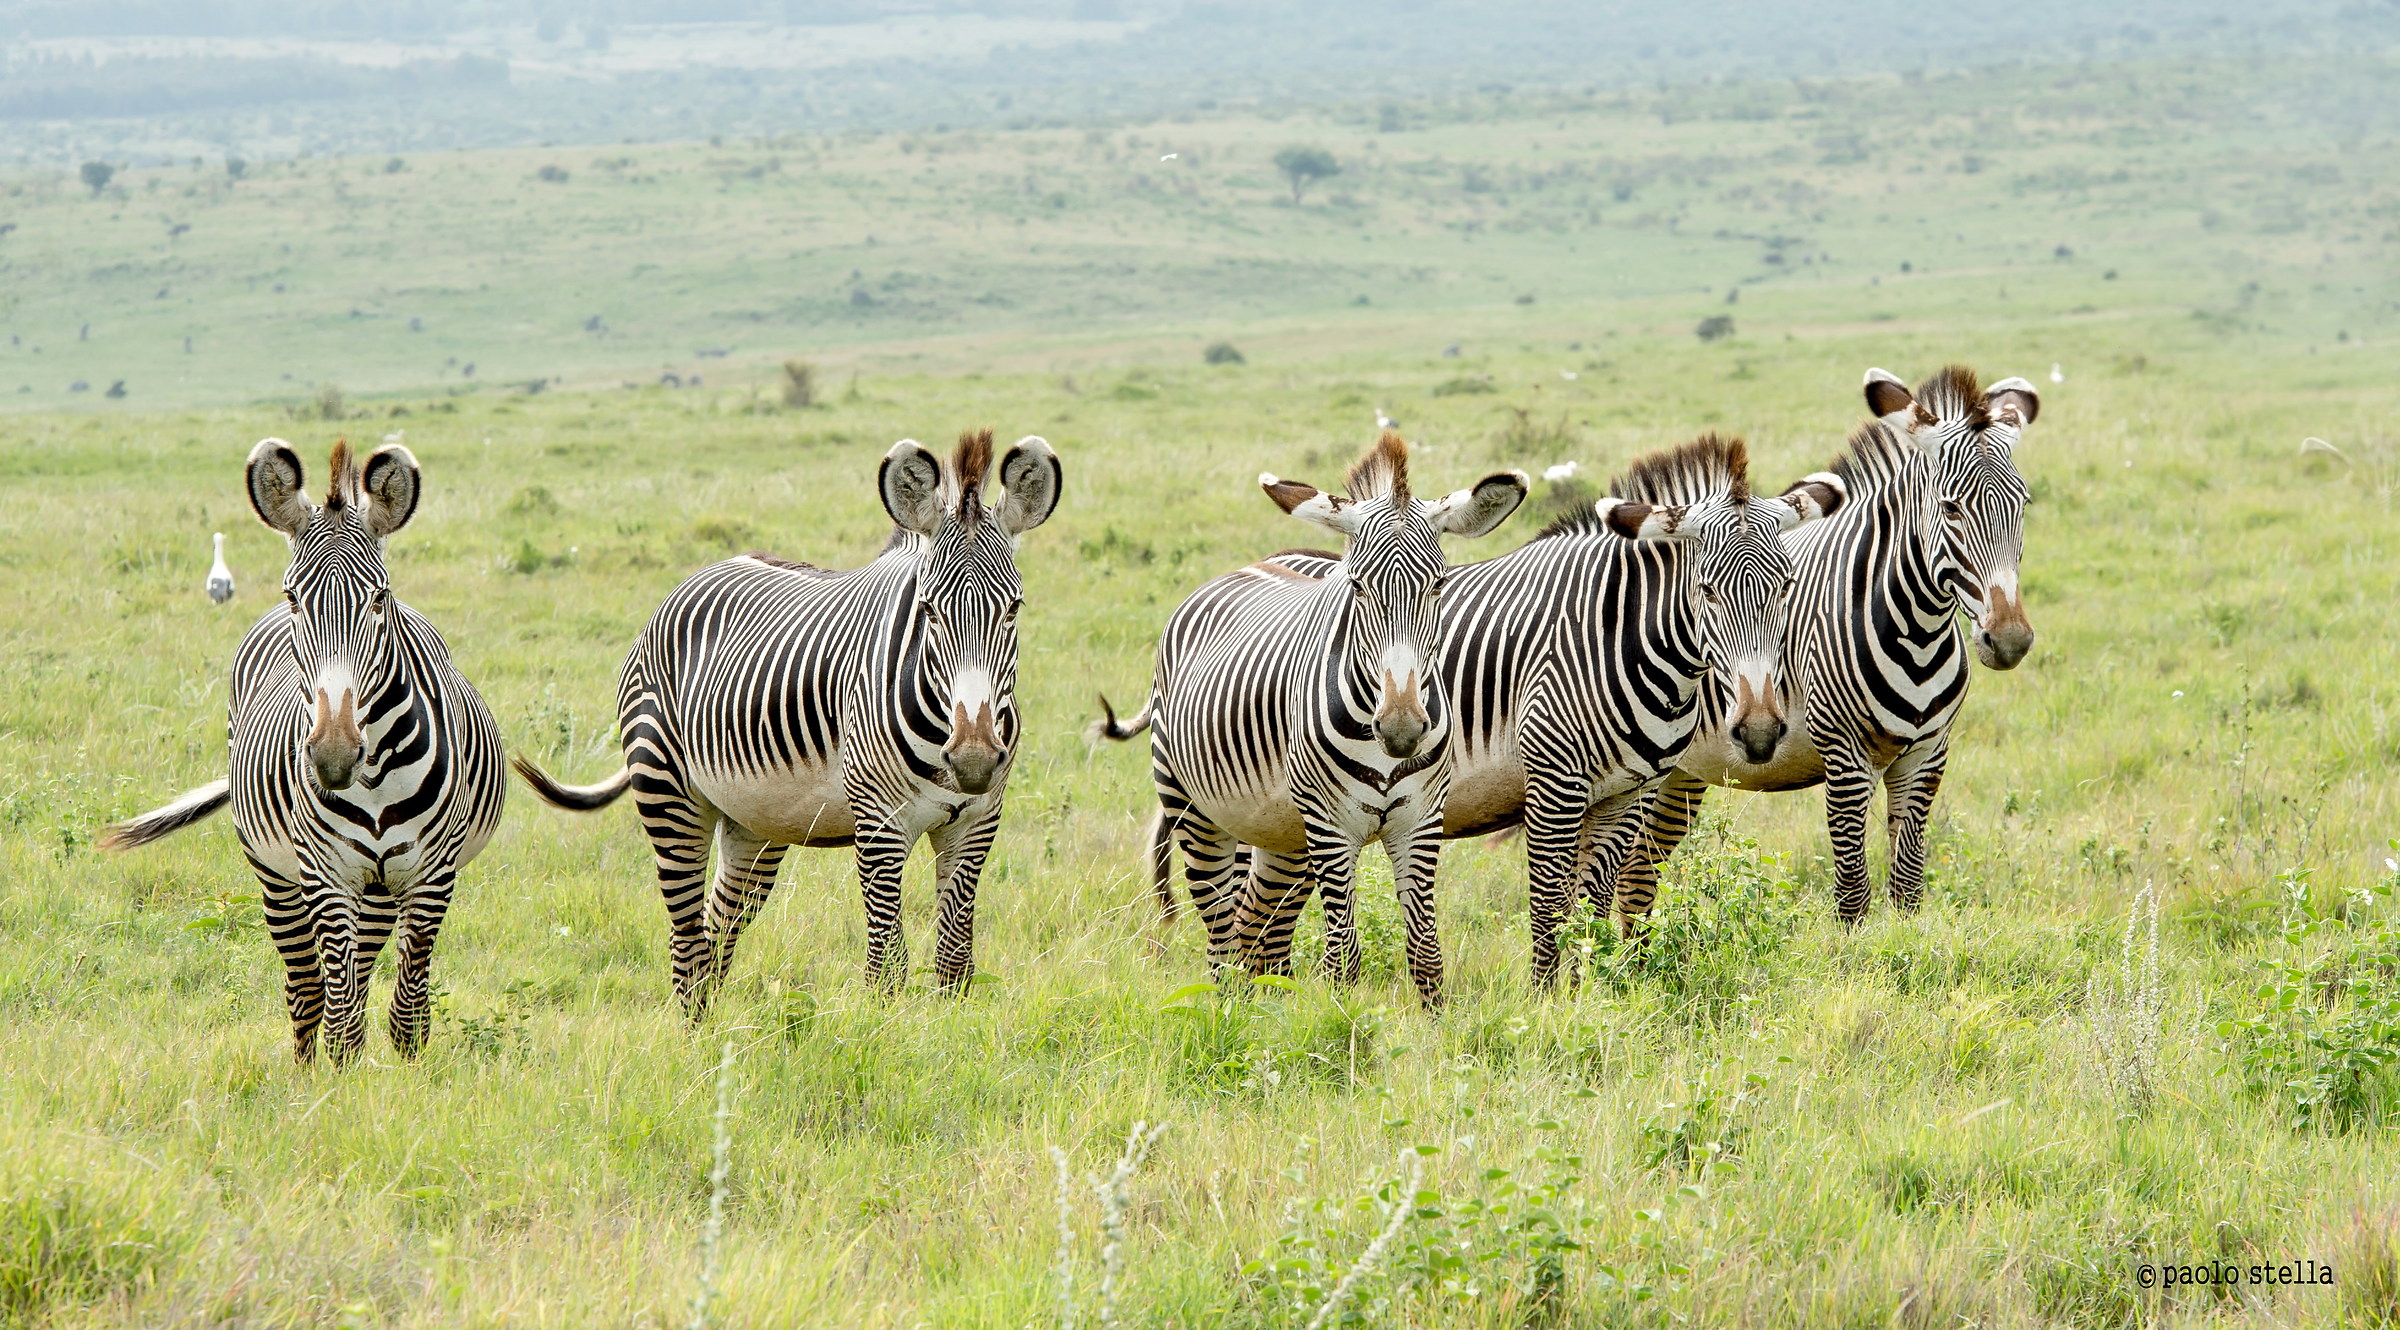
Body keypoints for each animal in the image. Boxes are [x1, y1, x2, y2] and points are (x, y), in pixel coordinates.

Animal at [101, 439, 507, 1062]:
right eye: (294, 597)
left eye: (381, 598)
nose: (334, 758)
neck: (376, 778)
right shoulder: (324, 876)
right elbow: (339, 1017)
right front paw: (337, 1087)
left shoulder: (433, 876)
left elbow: (409, 1011)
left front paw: (411, 1081)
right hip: (277, 873)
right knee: (307, 988)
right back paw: (304, 1069)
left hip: (379, 887)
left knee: (359, 978)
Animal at [511, 429, 1062, 1013]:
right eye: (929, 611)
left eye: (1014, 609)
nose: (974, 759)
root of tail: (698, 575)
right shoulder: (879, 826)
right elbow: (886, 969)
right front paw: (890, 1033)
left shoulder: (977, 823)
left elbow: (956, 965)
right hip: (667, 789)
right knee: (685, 942)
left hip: (753, 821)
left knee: (716, 935)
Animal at [1095, 433, 1528, 1006]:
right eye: (1357, 587)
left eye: (1437, 586)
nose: (1401, 731)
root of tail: (1242, 569)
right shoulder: (1330, 826)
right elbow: (1343, 958)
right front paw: (1341, 1024)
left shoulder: (1420, 821)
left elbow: (1426, 954)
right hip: (1195, 811)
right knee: (1221, 937)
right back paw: (1226, 1014)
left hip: (1280, 833)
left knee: (1257, 930)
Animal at [1240, 434, 1845, 984]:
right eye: (1708, 591)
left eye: (1787, 586)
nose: (1760, 732)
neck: (1618, 638)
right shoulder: (1554, 785)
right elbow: (1550, 906)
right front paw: (1548, 998)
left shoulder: (1628, 792)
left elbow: (1592, 905)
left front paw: (1586, 993)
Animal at [1604, 366, 2039, 926]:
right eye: (1950, 507)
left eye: (2023, 504)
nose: (2009, 641)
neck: (1918, 630)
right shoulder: (1845, 758)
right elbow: (1853, 894)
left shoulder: (1926, 756)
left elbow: (1908, 889)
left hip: (1683, 771)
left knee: (1637, 875)